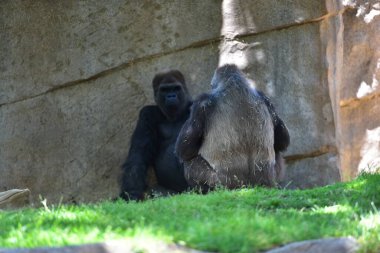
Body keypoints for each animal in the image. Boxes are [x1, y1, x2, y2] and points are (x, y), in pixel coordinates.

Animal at [120, 68, 191, 200]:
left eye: (176, 88)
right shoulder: (147, 114)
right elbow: (138, 155)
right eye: (164, 90)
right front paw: (131, 193)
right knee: (157, 191)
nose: (171, 96)